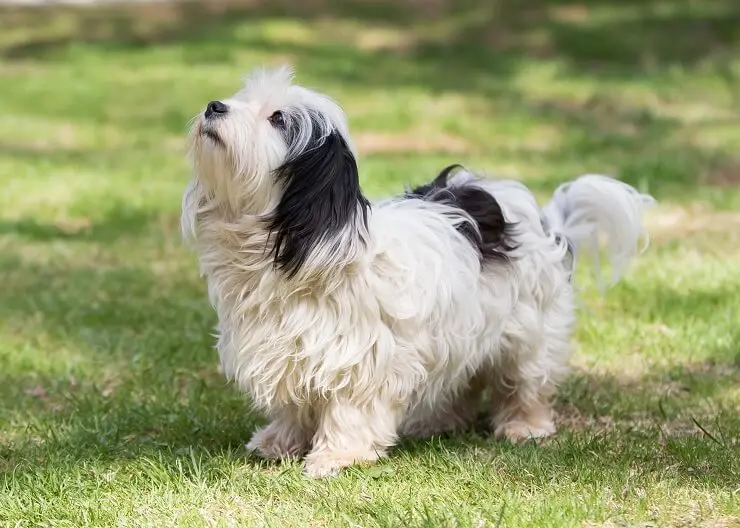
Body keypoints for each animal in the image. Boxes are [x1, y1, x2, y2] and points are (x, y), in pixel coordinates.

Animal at [181, 66, 652, 478]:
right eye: (243, 98)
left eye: (277, 118)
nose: (213, 106)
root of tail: (541, 220)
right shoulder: (288, 351)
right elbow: (294, 404)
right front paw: (280, 440)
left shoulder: (362, 356)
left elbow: (350, 409)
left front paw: (337, 456)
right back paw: (439, 421)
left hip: (528, 333)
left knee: (524, 382)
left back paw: (524, 424)